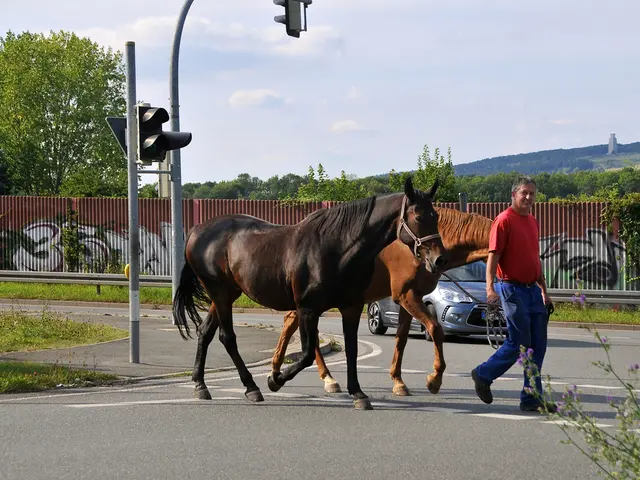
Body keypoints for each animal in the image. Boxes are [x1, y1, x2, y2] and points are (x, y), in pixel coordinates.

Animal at [172, 177, 449, 410]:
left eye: (435, 215)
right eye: (418, 216)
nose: (439, 259)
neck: (336, 248)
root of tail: (197, 230)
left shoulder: (351, 307)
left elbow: (351, 350)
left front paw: (358, 393)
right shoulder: (307, 309)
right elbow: (306, 355)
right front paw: (275, 379)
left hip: (226, 294)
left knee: (205, 332)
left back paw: (201, 385)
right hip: (219, 292)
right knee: (227, 337)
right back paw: (251, 387)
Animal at [270, 207, 492, 396]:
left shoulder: (409, 298)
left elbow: (401, 337)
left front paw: (398, 381)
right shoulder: (408, 295)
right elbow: (435, 329)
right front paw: (434, 380)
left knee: (293, 323)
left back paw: (281, 369)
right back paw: (325, 378)